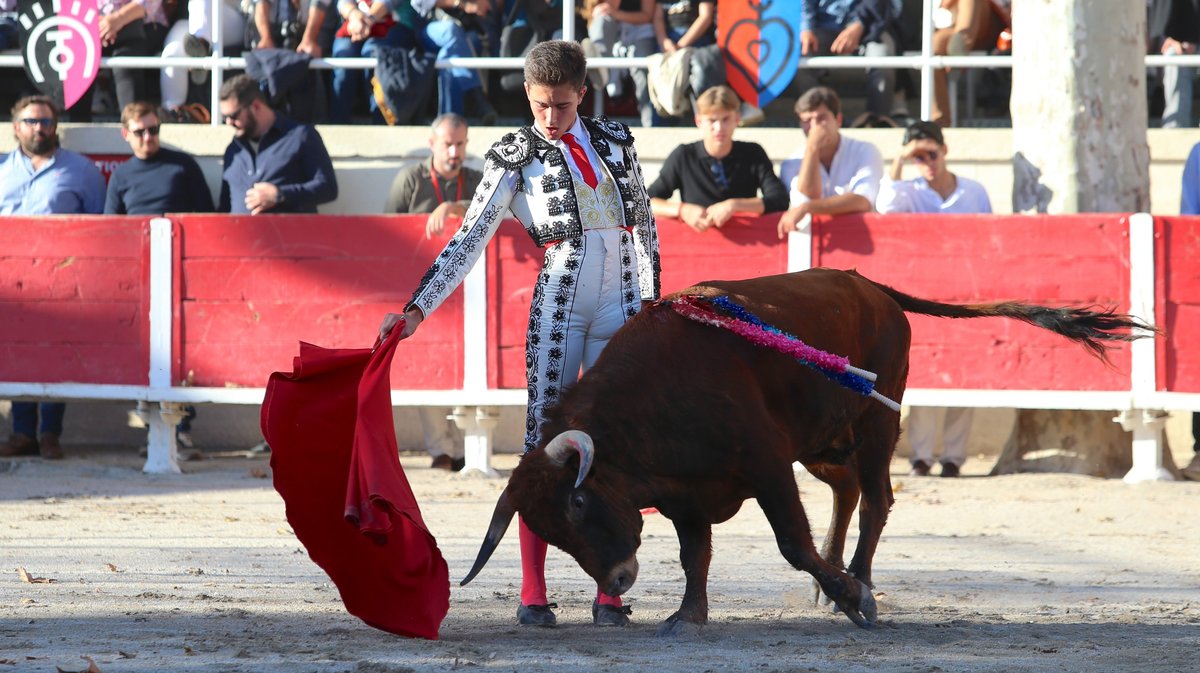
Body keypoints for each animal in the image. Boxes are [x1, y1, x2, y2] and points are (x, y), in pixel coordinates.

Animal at [460, 265, 1152, 633]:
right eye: (548, 531)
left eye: (575, 507)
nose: (618, 579)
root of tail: (874, 289)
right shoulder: (687, 492)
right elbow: (694, 553)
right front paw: (688, 615)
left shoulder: (768, 466)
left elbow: (790, 543)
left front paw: (850, 596)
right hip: (823, 444)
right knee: (847, 492)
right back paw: (838, 574)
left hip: (875, 425)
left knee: (876, 500)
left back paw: (860, 586)